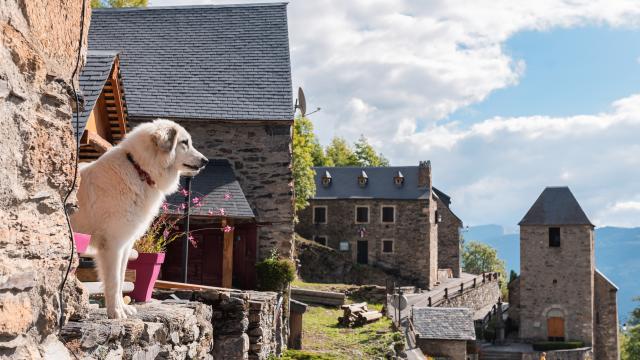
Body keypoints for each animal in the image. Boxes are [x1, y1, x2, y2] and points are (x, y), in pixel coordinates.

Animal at [72, 118, 208, 318]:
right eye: (184, 142)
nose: (206, 161)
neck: (139, 170)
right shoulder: (113, 244)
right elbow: (114, 281)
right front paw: (115, 312)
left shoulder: (125, 245)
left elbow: (121, 279)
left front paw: (122, 308)